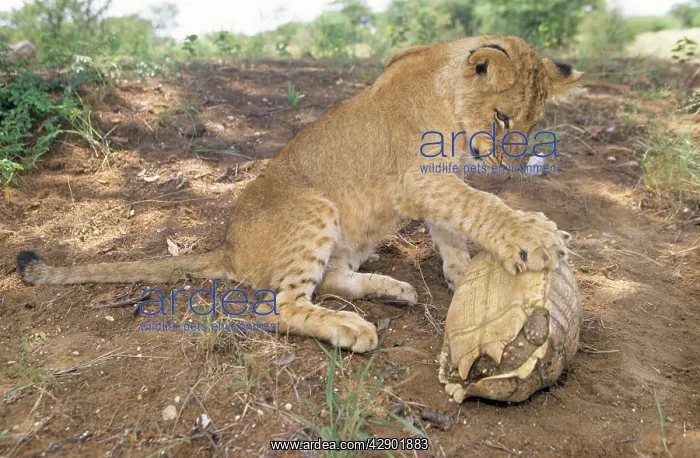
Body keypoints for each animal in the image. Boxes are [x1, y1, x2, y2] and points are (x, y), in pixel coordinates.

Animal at [17, 35, 583, 353]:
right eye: (503, 118)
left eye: (533, 124)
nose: (512, 164)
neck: (447, 94)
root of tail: (230, 249)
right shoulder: (421, 179)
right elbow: (480, 207)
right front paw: (535, 235)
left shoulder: (436, 186)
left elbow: (452, 232)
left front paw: (465, 278)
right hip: (313, 209)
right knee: (282, 306)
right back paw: (352, 329)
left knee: (330, 278)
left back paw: (391, 290)